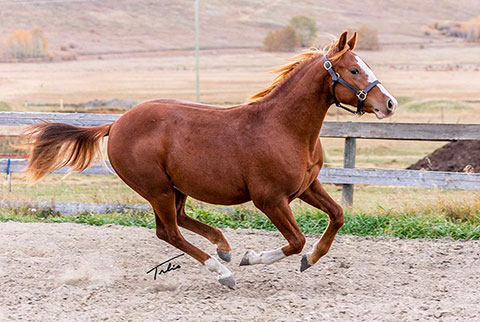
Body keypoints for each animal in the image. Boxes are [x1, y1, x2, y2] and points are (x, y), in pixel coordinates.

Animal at [21, 32, 398, 290]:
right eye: (354, 69)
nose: (389, 104)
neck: (284, 127)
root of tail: (115, 124)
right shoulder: (270, 200)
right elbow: (295, 241)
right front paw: (252, 258)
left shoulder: (307, 186)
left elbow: (337, 216)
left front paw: (309, 261)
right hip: (156, 189)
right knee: (169, 231)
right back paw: (224, 271)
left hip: (176, 187)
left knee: (180, 220)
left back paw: (223, 247)